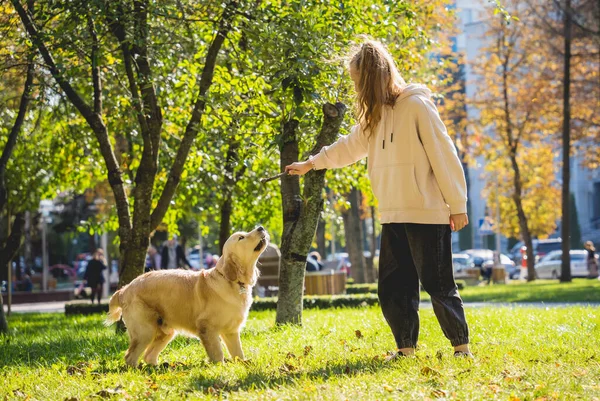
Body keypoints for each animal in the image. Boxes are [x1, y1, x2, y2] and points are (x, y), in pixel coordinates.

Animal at [105, 225, 270, 366]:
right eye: (241, 237)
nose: (261, 227)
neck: (233, 281)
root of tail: (124, 289)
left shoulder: (231, 331)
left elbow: (238, 353)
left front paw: (243, 364)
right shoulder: (207, 328)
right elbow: (217, 353)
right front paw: (220, 367)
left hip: (165, 332)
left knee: (148, 355)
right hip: (145, 331)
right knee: (130, 357)